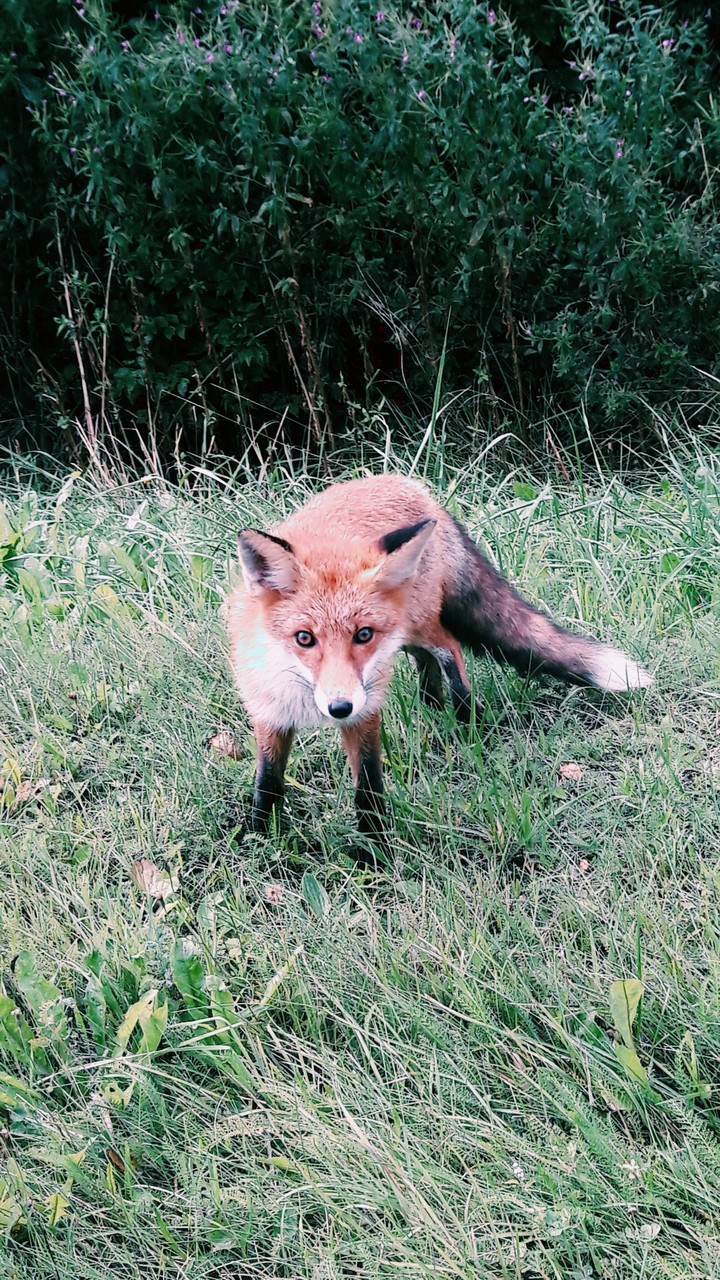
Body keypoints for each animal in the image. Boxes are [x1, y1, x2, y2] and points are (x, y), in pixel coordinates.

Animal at [226, 474, 652, 843]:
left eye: (363, 635)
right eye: (304, 638)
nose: (339, 707)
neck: (305, 698)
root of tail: (407, 483)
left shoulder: (365, 711)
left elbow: (368, 788)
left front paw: (373, 850)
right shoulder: (269, 712)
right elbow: (268, 782)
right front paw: (258, 835)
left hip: (418, 625)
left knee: (449, 649)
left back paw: (465, 718)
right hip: (403, 639)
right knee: (425, 663)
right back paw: (431, 707)